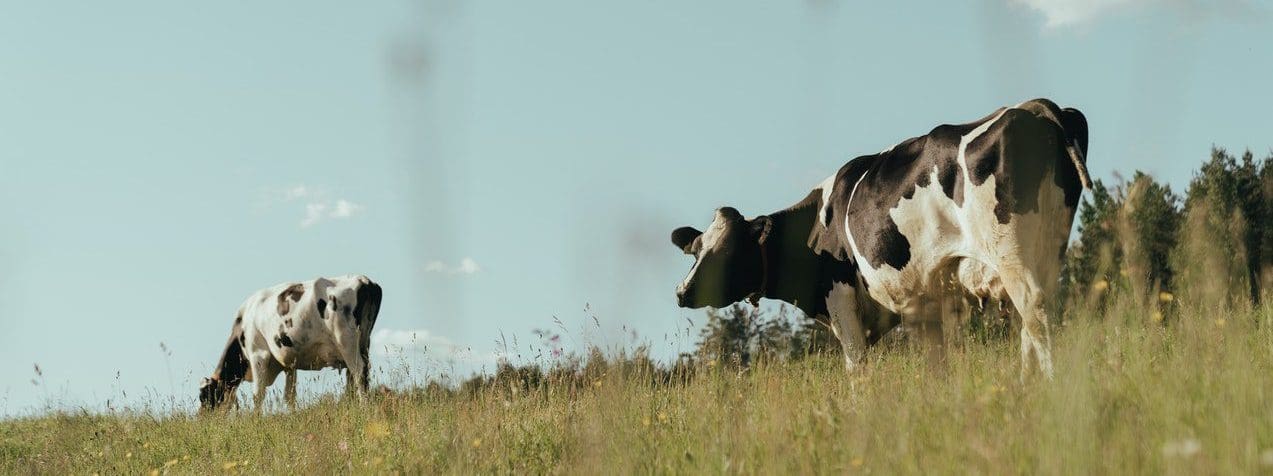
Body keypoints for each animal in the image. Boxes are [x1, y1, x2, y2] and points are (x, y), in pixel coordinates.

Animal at [196, 274, 379, 409]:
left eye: (205, 397)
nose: (202, 419)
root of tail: (363, 280)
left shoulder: (258, 354)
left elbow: (258, 394)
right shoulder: (289, 364)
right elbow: (289, 395)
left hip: (346, 342)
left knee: (358, 372)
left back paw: (364, 407)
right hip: (363, 343)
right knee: (357, 376)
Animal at [672, 98, 1089, 376]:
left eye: (727, 251)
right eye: (696, 251)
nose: (681, 292)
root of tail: (1037, 108)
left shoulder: (840, 299)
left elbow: (857, 368)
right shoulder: (925, 303)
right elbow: (937, 365)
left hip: (1012, 252)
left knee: (1035, 311)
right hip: (1048, 247)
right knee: (1033, 319)